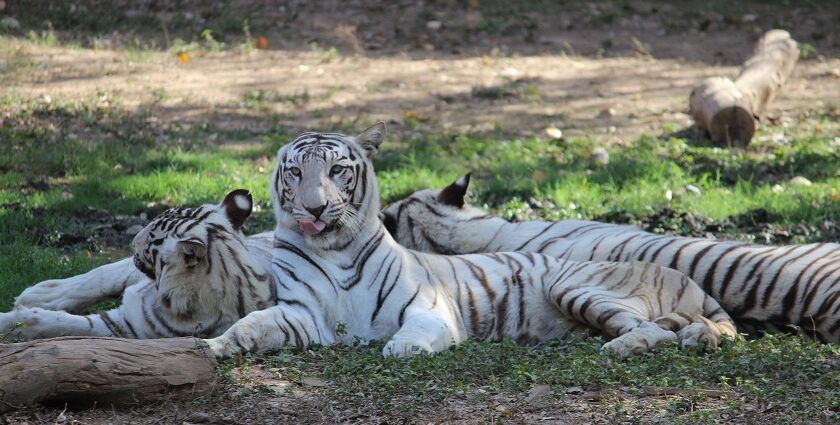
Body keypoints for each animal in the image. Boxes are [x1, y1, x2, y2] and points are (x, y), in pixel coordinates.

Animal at [1, 190, 274, 340]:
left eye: (152, 238)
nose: (133, 241)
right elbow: (102, 275)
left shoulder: (122, 326)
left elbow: (57, 323)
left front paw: (13, 321)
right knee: (104, 274)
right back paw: (41, 292)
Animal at [203, 123, 736, 358]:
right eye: (296, 172)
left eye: (336, 170)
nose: (314, 208)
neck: (334, 250)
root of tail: (683, 276)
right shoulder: (304, 316)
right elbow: (251, 324)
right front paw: (216, 346)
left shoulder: (428, 307)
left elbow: (409, 337)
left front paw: (397, 350)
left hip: (577, 287)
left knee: (654, 331)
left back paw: (622, 348)